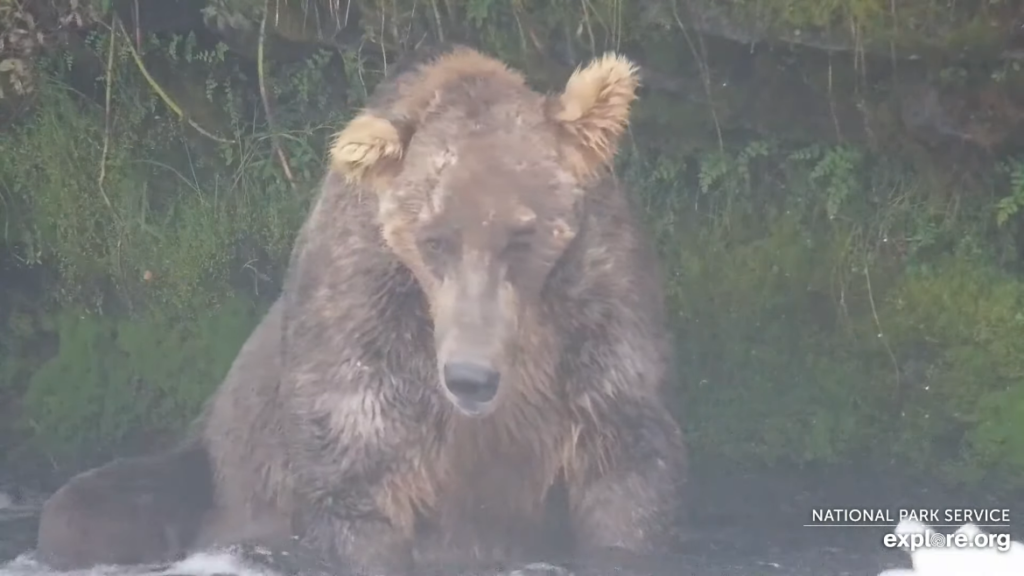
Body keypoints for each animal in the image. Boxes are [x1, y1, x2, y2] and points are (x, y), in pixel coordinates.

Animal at [34, 45, 688, 573]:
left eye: (522, 234)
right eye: (434, 238)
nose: (470, 378)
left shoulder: (596, 314)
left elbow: (623, 468)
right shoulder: (365, 321)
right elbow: (357, 475)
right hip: (211, 466)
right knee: (87, 508)